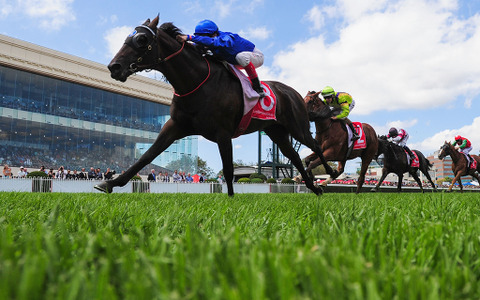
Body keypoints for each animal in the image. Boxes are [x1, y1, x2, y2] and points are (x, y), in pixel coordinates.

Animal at [94, 15, 334, 197]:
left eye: (142, 39)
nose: (114, 67)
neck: (196, 82)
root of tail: (293, 92)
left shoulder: (223, 132)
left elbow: (228, 169)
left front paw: (231, 198)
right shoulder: (175, 126)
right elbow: (147, 156)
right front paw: (110, 183)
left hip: (297, 127)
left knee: (314, 146)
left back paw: (330, 173)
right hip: (276, 131)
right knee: (294, 156)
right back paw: (314, 188)